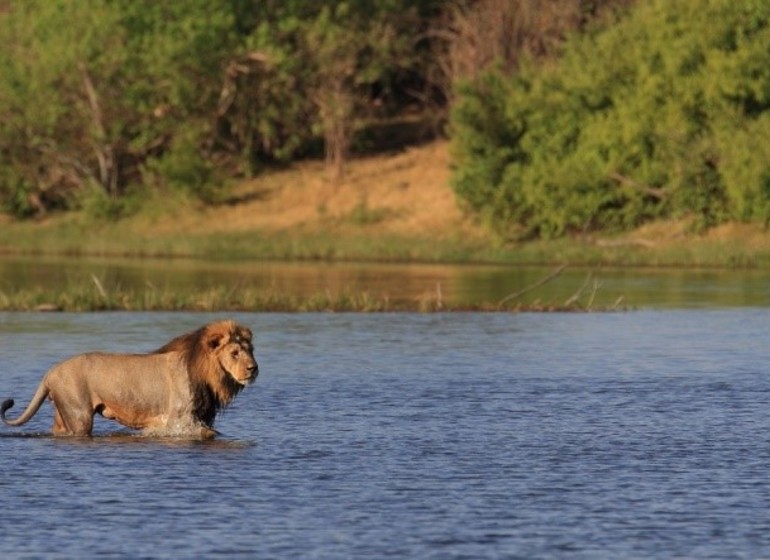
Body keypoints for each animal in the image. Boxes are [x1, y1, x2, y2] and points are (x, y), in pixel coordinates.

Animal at [0, 320, 258, 438]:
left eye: (250, 350)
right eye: (235, 353)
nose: (253, 368)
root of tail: (49, 372)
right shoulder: (179, 421)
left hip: (63, 416)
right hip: (79, 414)